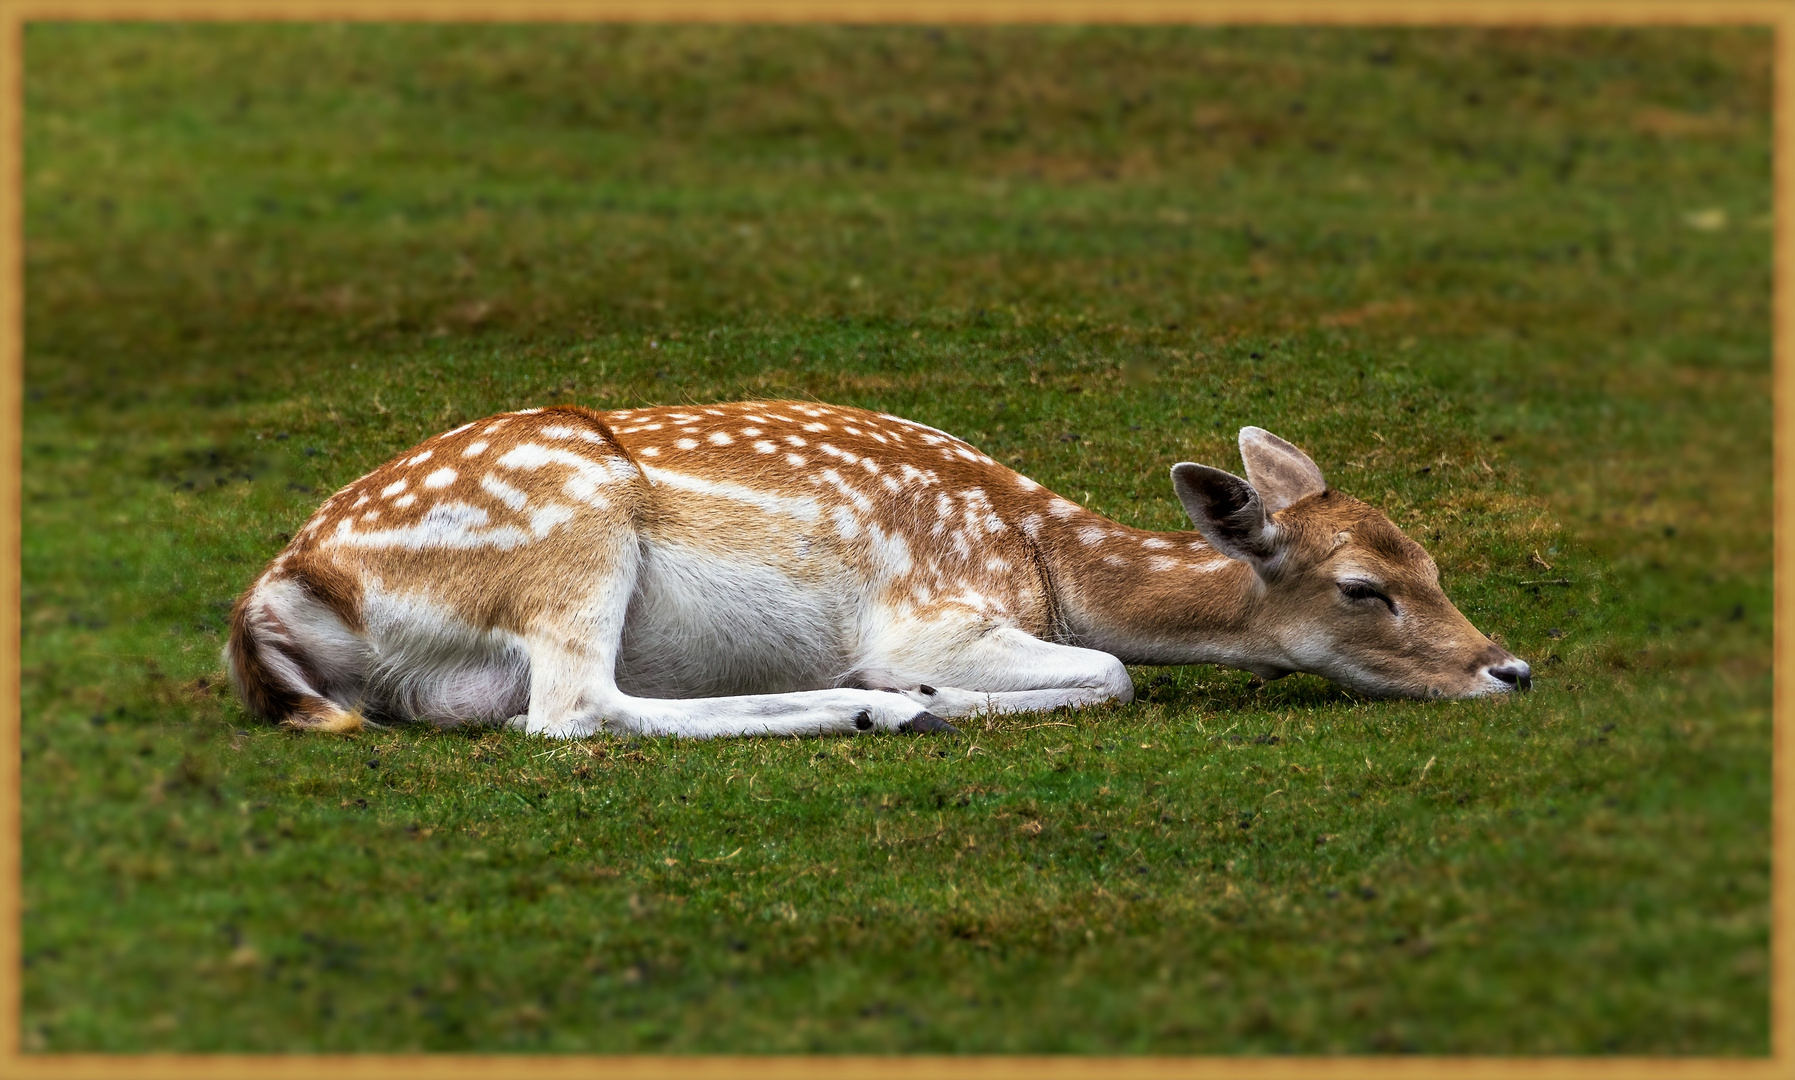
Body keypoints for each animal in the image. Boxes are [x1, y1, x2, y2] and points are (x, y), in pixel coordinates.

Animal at [224, 400, 1529, 735]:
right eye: (1364, 590)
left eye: (1429, 555)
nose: (1507, 668)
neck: (1044, 558)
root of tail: (274, 602)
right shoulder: (932, 606)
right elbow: (1113, 674)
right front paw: (914, 687)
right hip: (570, 526)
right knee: (571, 708)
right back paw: (885, 708)